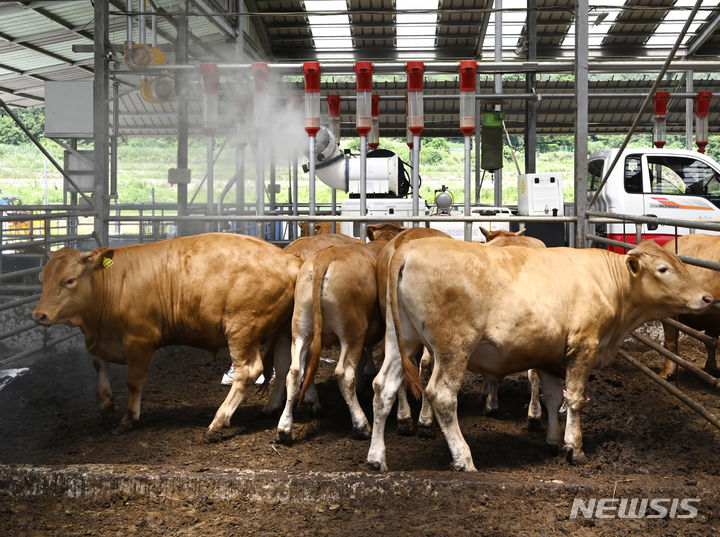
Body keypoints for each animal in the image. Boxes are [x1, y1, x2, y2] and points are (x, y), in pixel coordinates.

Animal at [33, 231, 300, 440]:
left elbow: (133, 381)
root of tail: (287, 258)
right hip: (282, 330)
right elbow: (100, 367)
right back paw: (270, 408)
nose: (39, 315)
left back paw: (216, 423)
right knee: (283, 366)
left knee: (248, 371)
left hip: (242, 329)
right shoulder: (102, 339)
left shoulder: (140, 341)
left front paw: (129, 419)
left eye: (69, 280)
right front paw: (106, 405)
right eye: (42, 278)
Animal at [278, 221, 408, 440]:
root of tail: (323, 258)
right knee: (343, 373)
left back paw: (285, 427)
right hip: (351, 333)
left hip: (301, 329)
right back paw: (361, 424)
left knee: (295, 372)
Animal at [368, 239, 712, 468]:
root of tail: (409, 248)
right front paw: (575, 448)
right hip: (454, 348)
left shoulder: (549, 354)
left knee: (383, 387)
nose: (707, 297)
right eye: (663, 269)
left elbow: (553, 397)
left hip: (401, 340)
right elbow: (575, 398)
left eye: (680, 263)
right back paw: (464, 458)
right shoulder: (584, 345)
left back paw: (376, 458)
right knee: (441, 395)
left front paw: (553, 440)